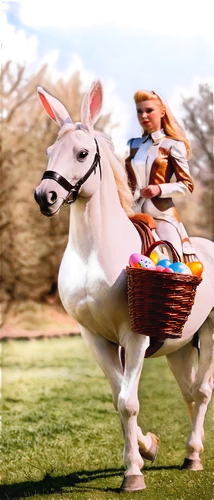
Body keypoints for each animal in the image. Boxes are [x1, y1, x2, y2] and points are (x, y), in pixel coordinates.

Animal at [34, 79, 213, 492]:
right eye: (50, 151)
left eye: (82, 153)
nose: (45, 196)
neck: (93, 257)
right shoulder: (96, 339)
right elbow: (119, 398)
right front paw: (147, 449)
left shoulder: (134, 338)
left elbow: (130, 401)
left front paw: (133, 474)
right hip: (180, 347)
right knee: (188, 392)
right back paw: (189, 452)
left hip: (211, 336)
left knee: (202, 392)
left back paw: (195, 454)